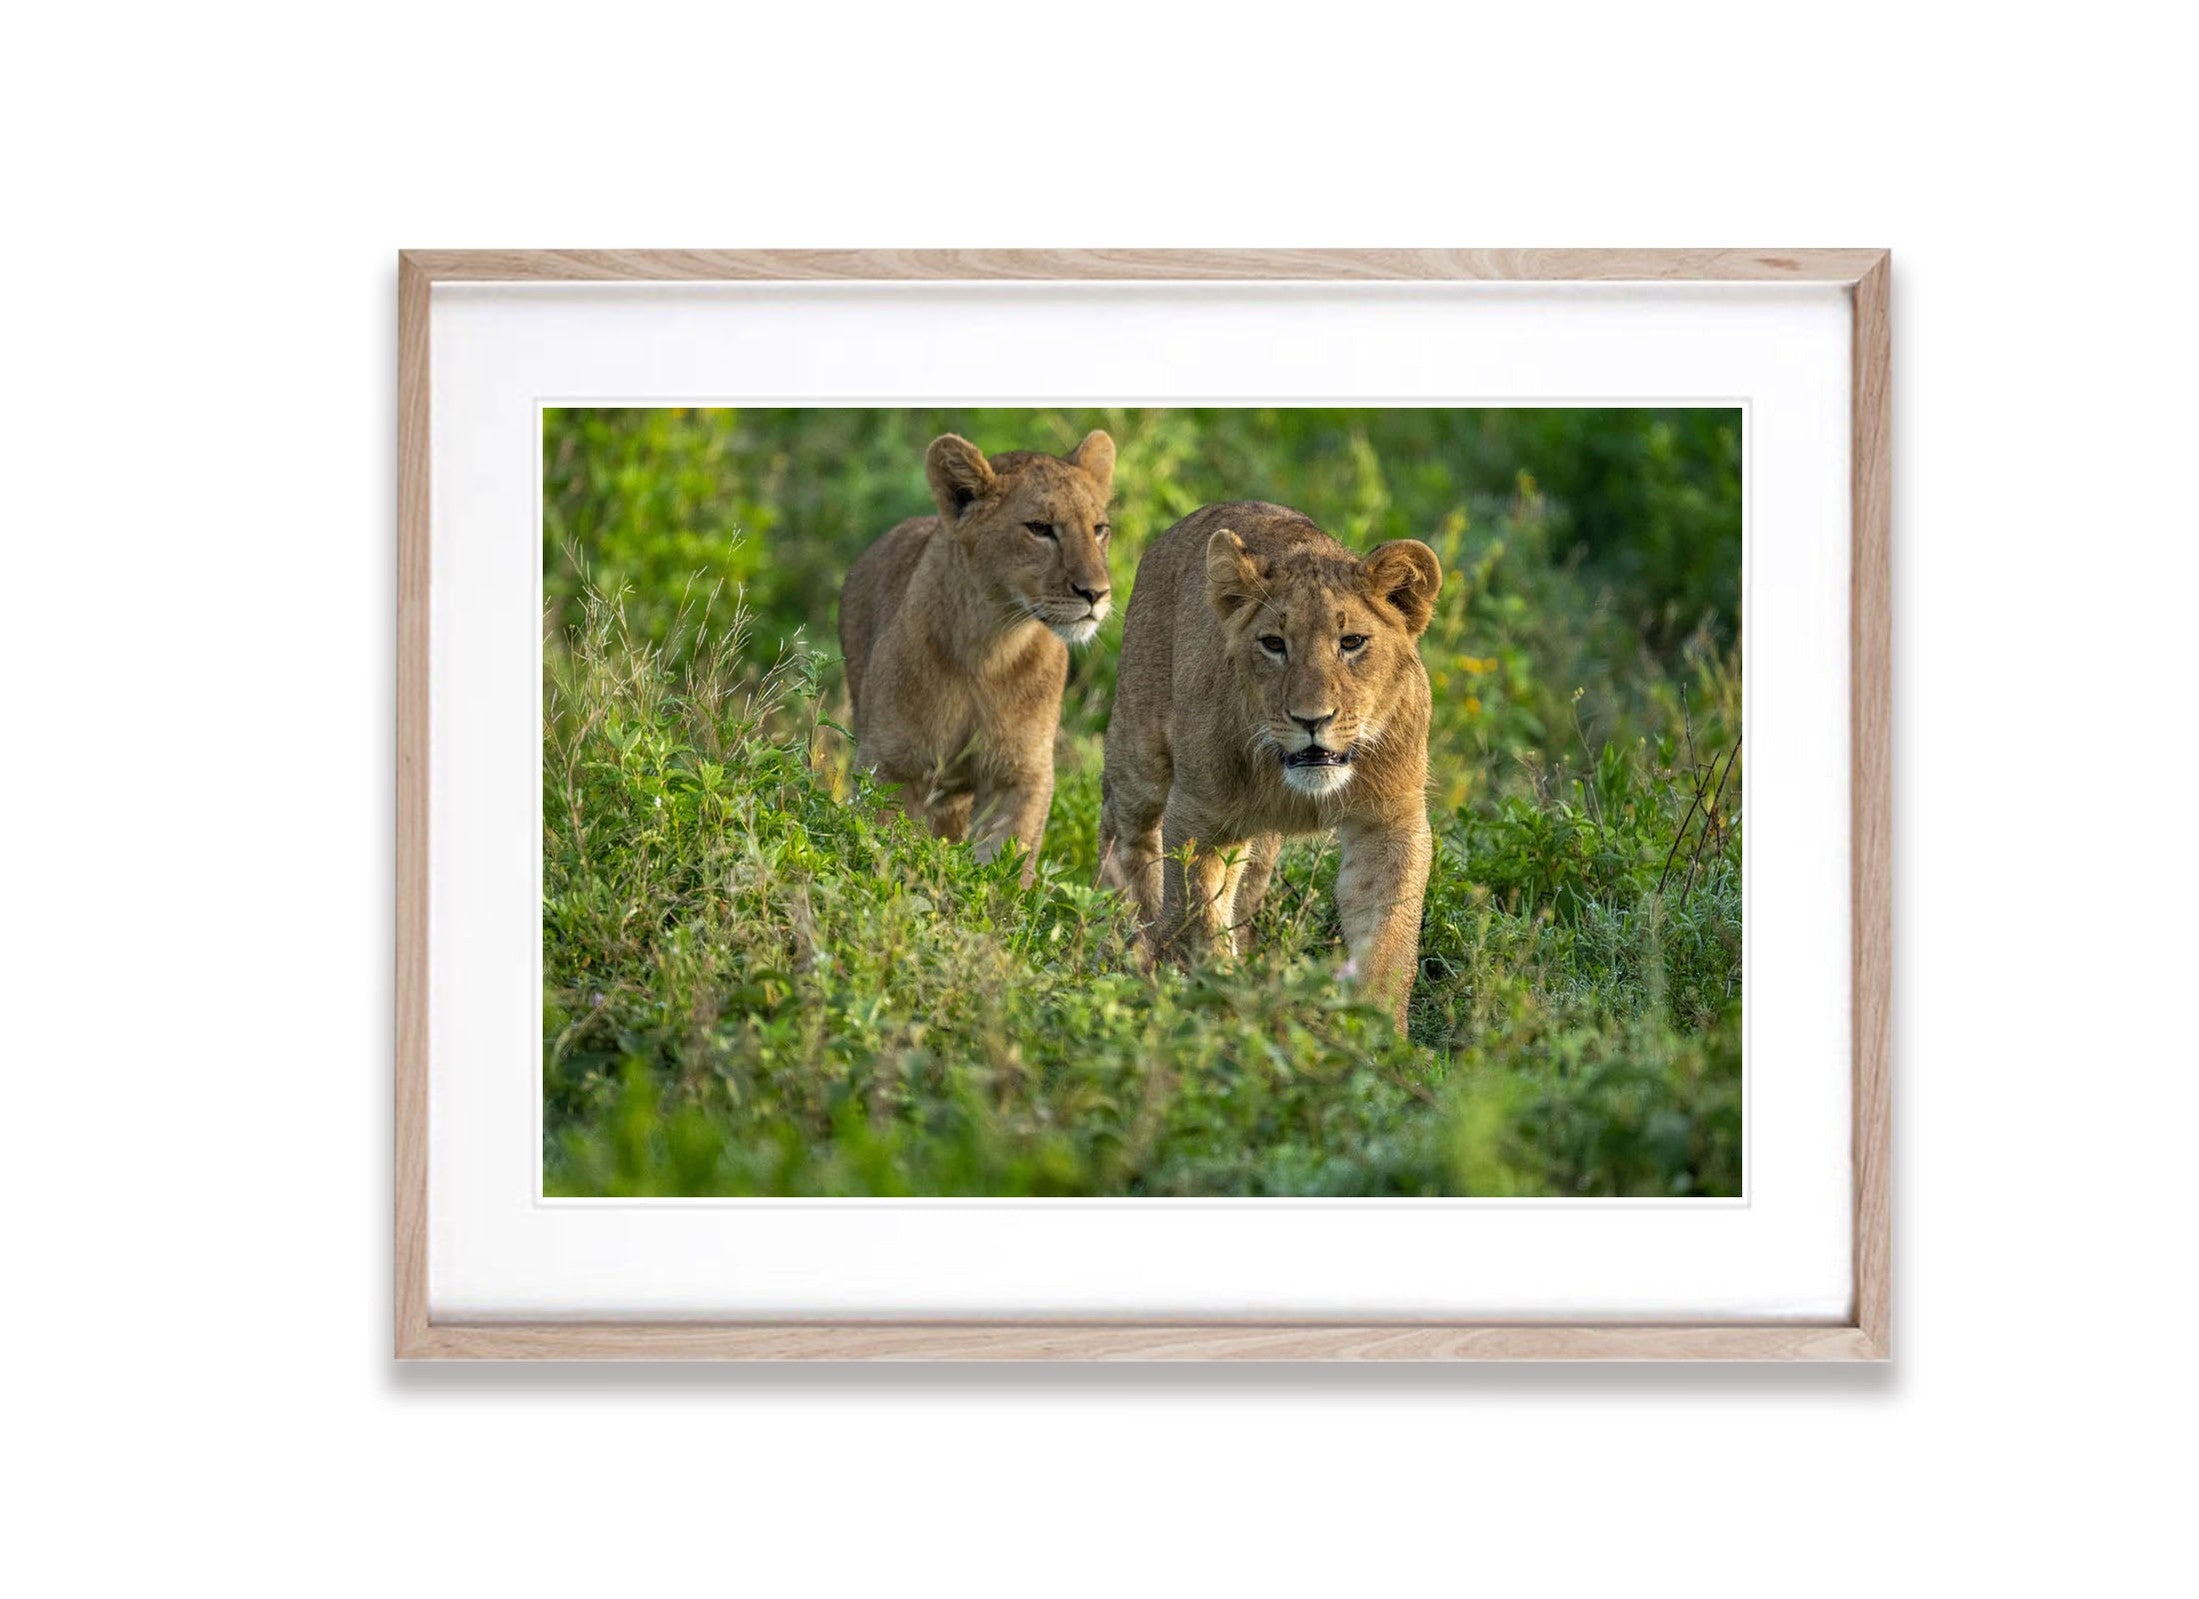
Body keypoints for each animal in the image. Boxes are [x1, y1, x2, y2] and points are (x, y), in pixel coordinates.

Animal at [840, 431, 1117, 888]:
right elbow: (883, 848)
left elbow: (1005, 865)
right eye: (1039, 528)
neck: (991, 644)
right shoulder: (890, 766)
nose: (1096, 593)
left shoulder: (1020, 775)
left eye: (1099, 530)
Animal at [1099, 503, 1442, 1024]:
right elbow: (1201, 917)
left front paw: (1376, 1029)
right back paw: (1130, 928)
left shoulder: (1390, 821)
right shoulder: (1200, 816)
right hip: (1140, 749)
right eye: (1274, 644)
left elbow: (1388, 936)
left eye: (1352, 642)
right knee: (1125, 830)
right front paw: (1222, 1005)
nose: (1311, 719)